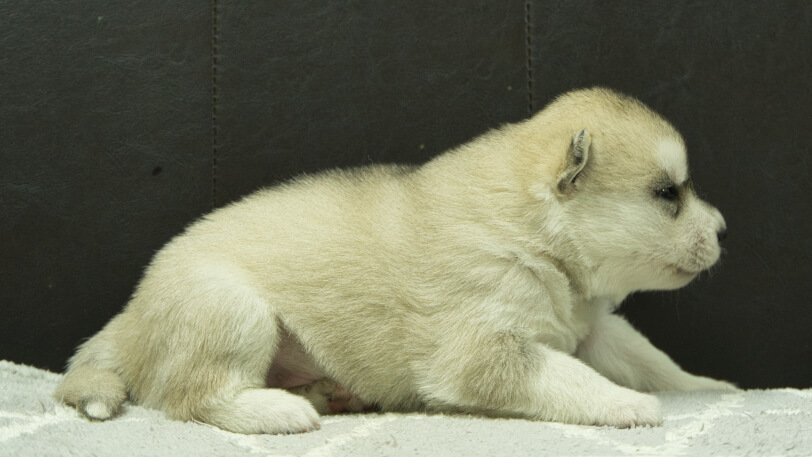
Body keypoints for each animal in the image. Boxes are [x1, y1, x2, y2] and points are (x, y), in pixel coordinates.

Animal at [54, 87, 732, 432]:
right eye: (668, 194)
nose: (725, 230)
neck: (536, 232)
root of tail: (129, 315)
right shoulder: (484, 351)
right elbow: (568, 377)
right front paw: (628, 406)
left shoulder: (593, 328)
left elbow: (648, 360)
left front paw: (706, 386)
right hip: (231, 309)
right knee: (188, 397)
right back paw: (278, 409)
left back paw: (329, 393)